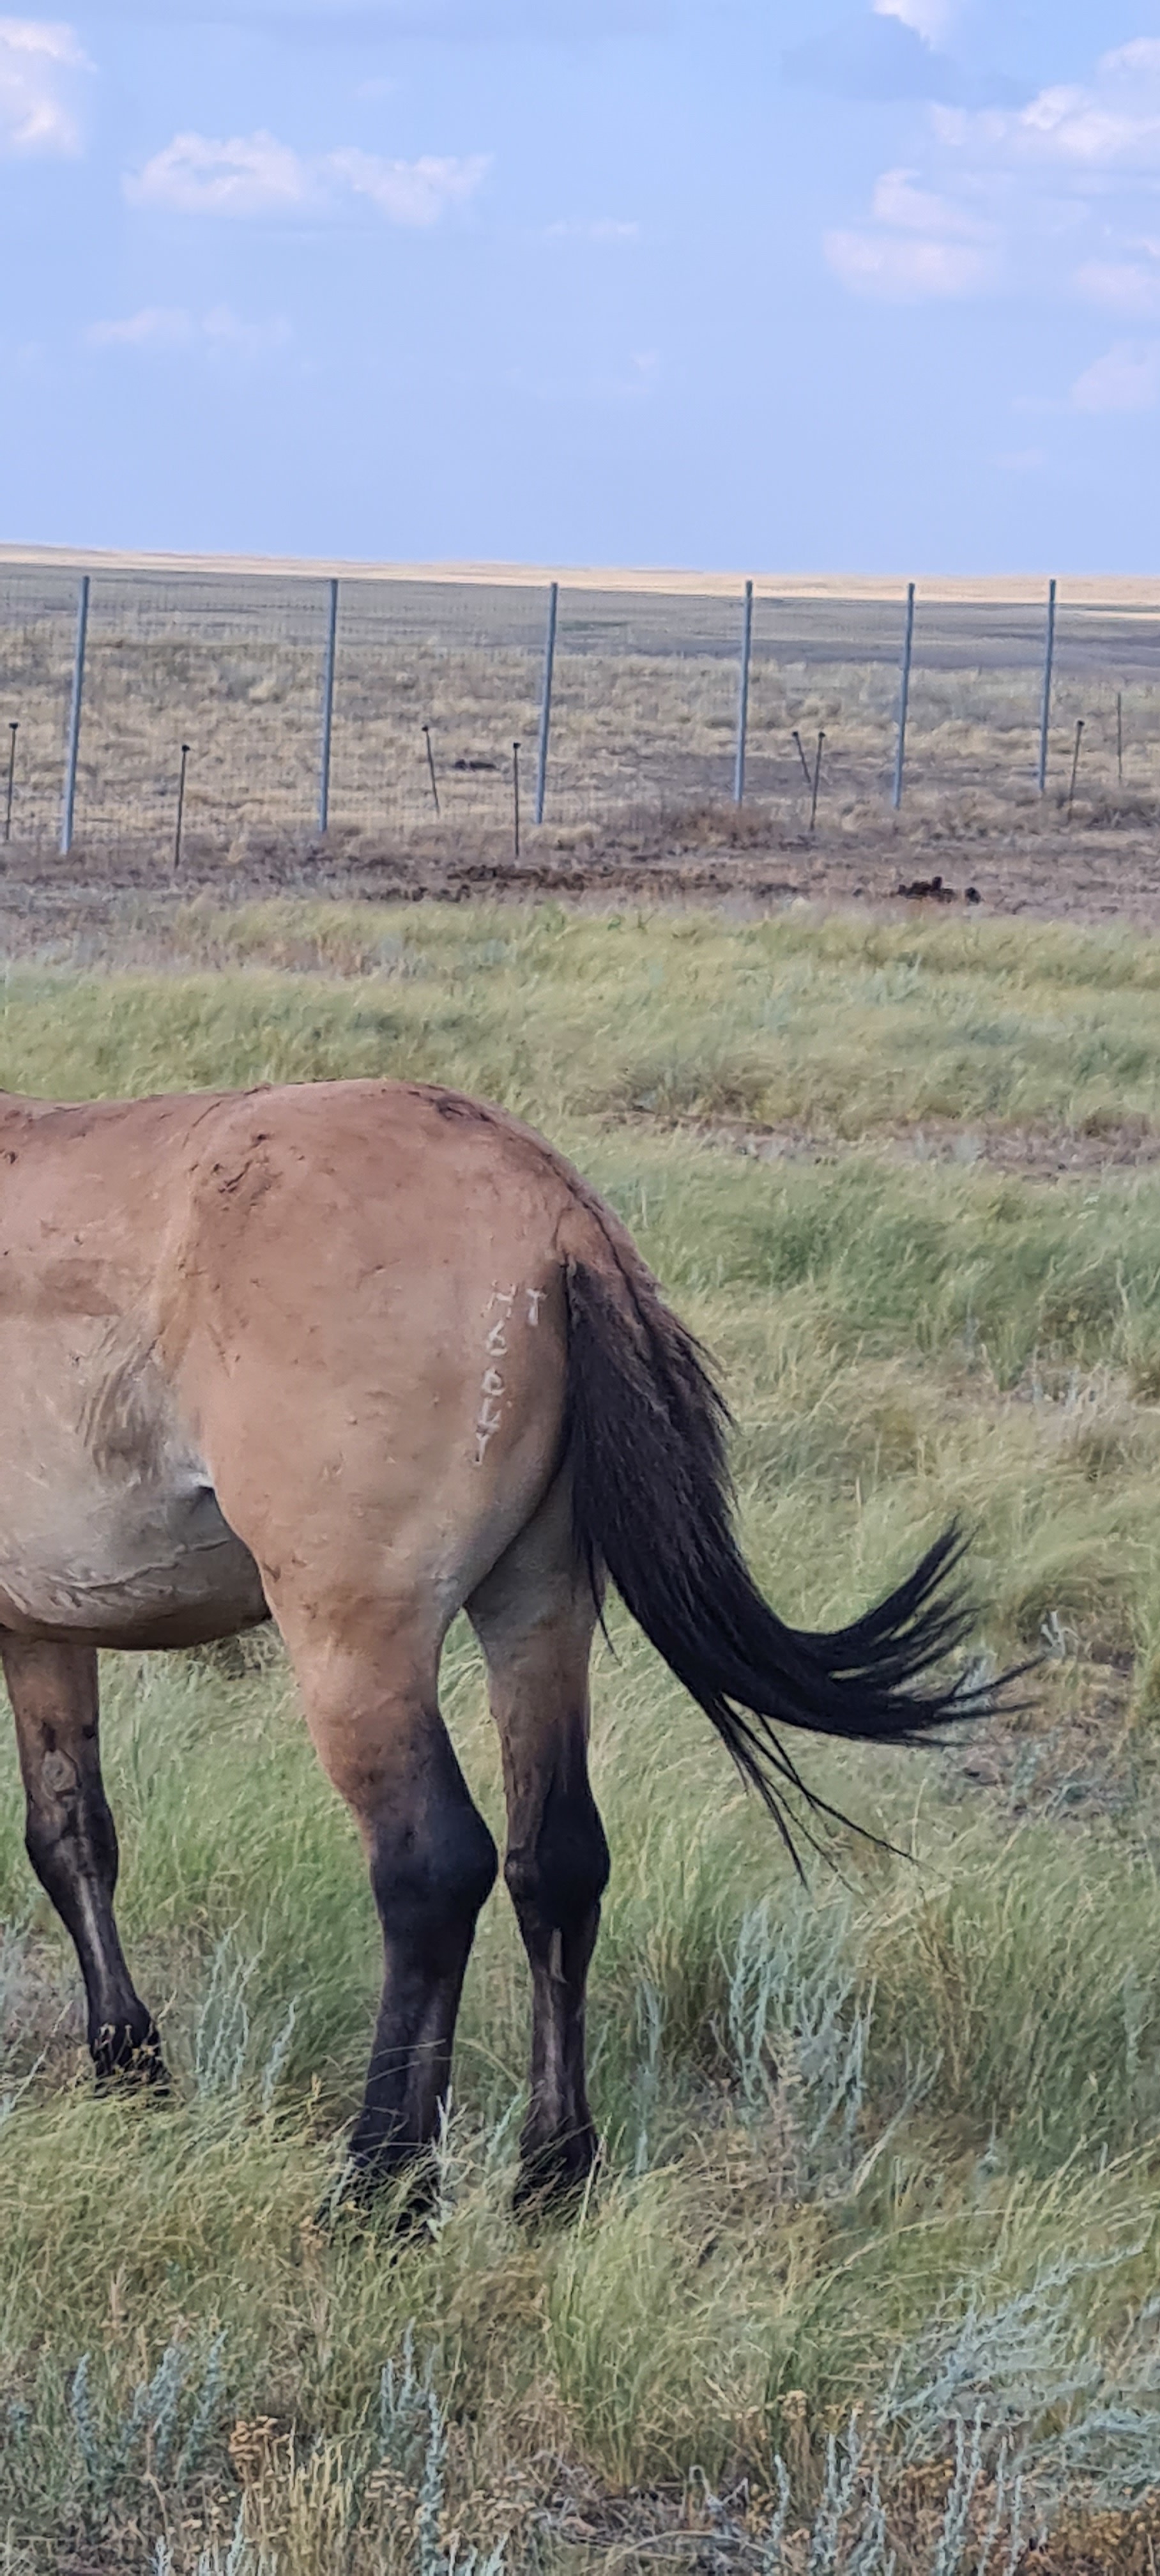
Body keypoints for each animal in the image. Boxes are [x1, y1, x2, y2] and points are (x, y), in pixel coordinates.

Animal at [0, 1077, 979, 2205]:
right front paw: (128, 2061)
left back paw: (382, 2183)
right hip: (540, 1613)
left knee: (431, 1871)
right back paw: (553, 2172)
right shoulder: (44, 1628)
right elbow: (72, 1835)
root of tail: (553, 1213)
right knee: (556, 1860)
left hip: (360, 1641)